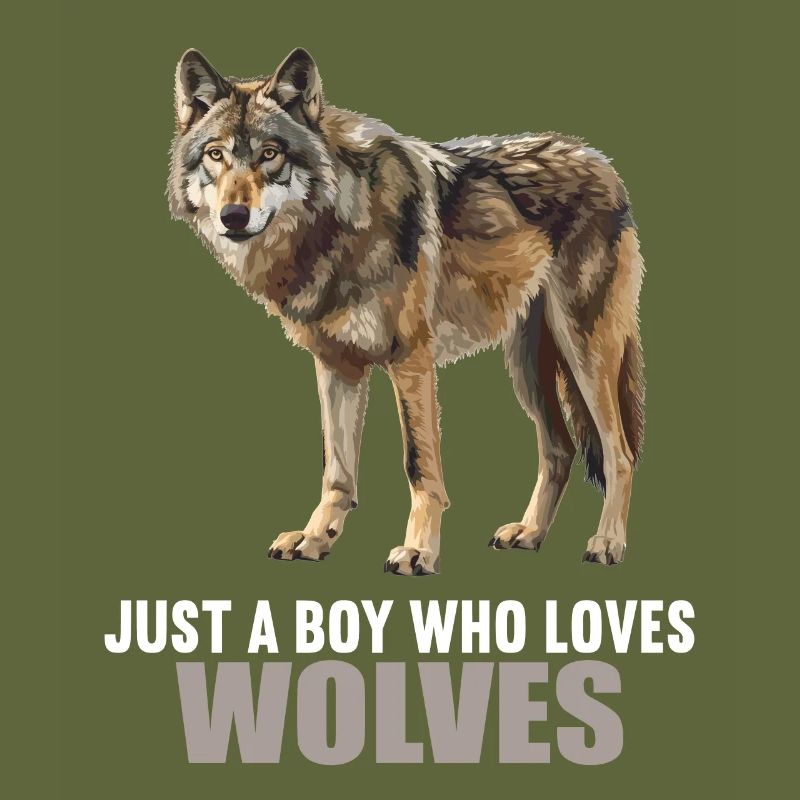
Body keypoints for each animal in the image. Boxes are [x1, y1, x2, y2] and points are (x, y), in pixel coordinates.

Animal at [168, 48, 645, 575]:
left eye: (270, 154)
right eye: (216, 155)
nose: (233, 217)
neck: (340, 226)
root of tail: (601, 162)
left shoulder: (410, 360)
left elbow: (419, 465)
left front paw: (419, 550)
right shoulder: (336, 365)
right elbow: (337, 470)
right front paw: (316, 538)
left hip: (584, 352)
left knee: (620, 453)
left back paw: (608, 543)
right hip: (526, 366)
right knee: (560, 449)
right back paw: (530, 533)